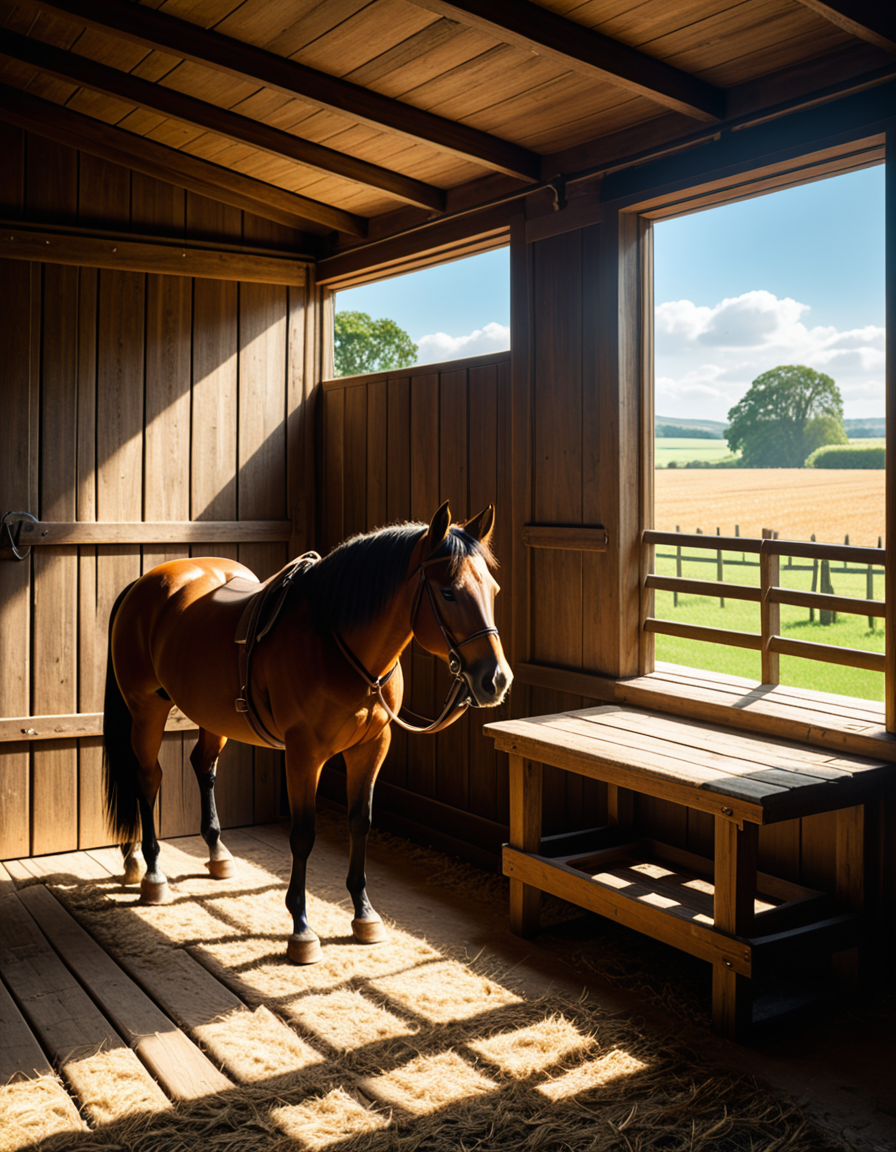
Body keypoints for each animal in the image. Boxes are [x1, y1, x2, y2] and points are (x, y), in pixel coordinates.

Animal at [102, 501, 512, 963]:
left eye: (493, 590)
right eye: (448, 593)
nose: (495, 679)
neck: (335, 641)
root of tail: (144, 582)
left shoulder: (372, 747)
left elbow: (361, 821)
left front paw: (364, 914)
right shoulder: (303, 754)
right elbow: (303, 834)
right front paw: (300, 928)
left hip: (211, 716)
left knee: (202, 766)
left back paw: (213, 854)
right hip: (146, 708)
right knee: (146, 778)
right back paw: (150, 871)